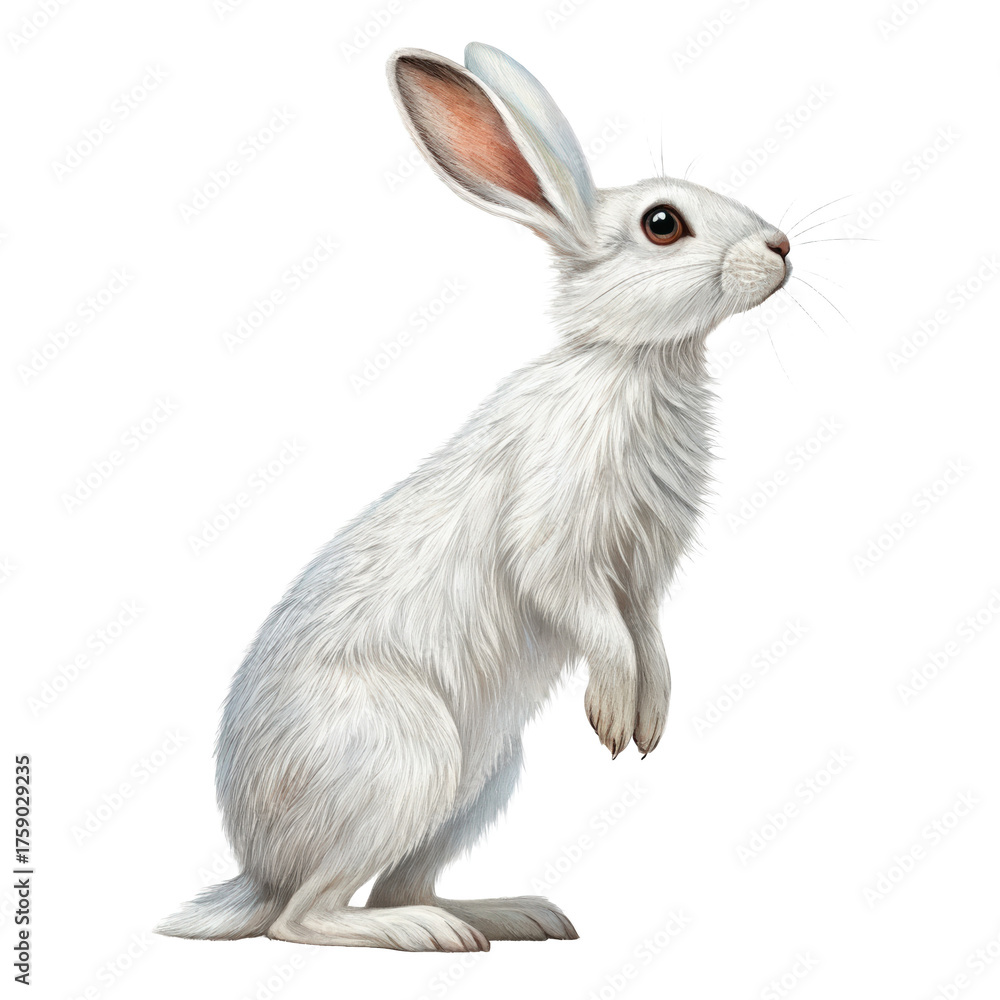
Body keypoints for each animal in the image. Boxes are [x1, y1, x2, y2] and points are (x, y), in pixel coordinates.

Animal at [157, 41, 791, 952]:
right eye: (663, 224)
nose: (782, 245)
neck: (633, 363)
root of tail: (256, 866)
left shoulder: (642, 575)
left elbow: (647, 635)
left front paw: (651, 719)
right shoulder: (560, 546)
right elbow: (594, 622)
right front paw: (612, 714)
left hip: (481, 779)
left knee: (387, 883)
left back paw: (510, 915)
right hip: (405, 756)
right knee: (303, 918)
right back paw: (429, 934)